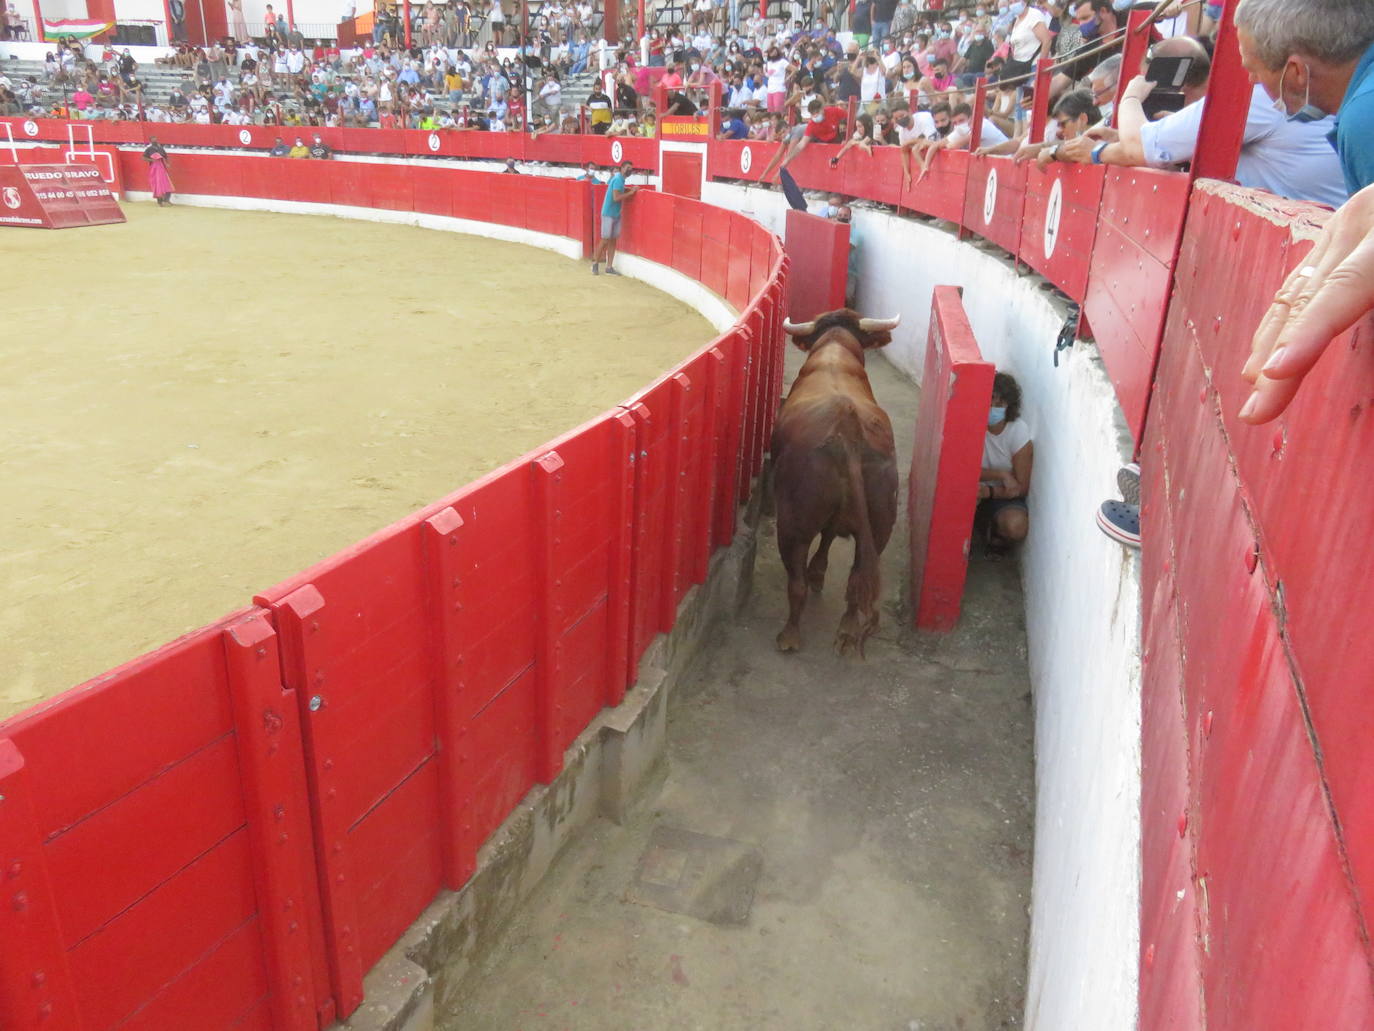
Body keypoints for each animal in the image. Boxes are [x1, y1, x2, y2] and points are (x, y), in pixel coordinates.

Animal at [774, 310, 901, 657]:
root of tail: (849, 429)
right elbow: (831, 534)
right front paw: (820, 571)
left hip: (792, 524)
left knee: (796, 583)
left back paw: (789, 635)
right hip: (881, 523)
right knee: (857, 578)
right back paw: (846, 630)